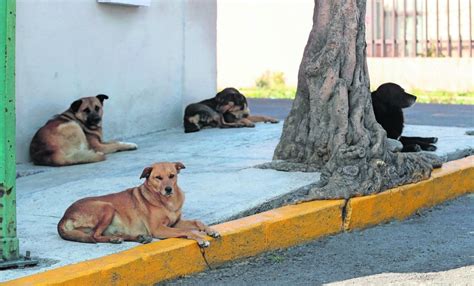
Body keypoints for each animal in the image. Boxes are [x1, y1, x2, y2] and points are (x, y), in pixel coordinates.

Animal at [57, 162, 218, 247]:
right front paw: (200, 238)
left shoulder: (175, 222)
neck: (166, 202)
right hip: (107, 207)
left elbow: (197, 222)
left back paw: (137, 238)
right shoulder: (158, 229)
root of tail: (64, 217)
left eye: (172, 176)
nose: (168, 189)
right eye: (158, 178)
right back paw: (117, 239)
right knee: (94, 236)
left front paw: (210, 230)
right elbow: (186, 231)